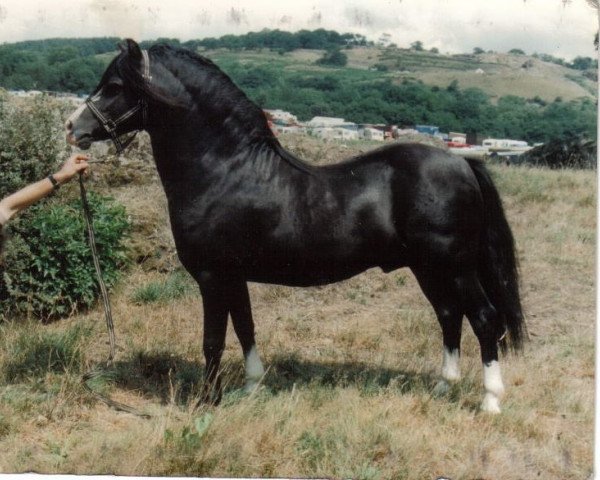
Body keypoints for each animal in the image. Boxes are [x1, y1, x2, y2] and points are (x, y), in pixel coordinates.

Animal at [67, 40, 524, 412]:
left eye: (115, 86)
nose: (73, 128)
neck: (224, 170)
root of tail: (462, 162)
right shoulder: (233, 277)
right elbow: (246, 327)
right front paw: (251, 387)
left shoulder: (212, 276)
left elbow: (213, 340)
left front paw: (206, 402)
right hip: (428, 268)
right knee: (449, 315)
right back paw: (443, 388)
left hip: (455, 267)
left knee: (484, 318)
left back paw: (490, 401)